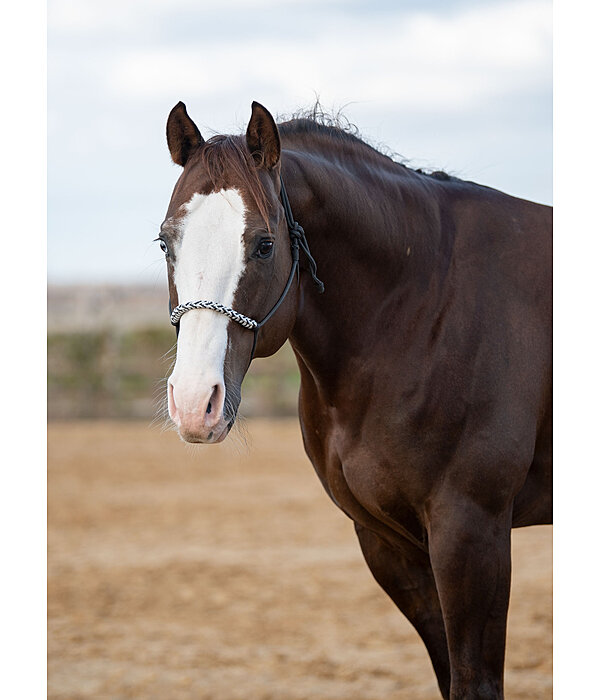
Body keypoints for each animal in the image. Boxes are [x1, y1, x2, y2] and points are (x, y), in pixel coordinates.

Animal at [157, 100, 552, 700]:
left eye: (264, 245)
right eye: (165, 242)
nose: (194, 403)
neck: (422, 305)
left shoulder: (472, 533)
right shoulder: (391, 544)